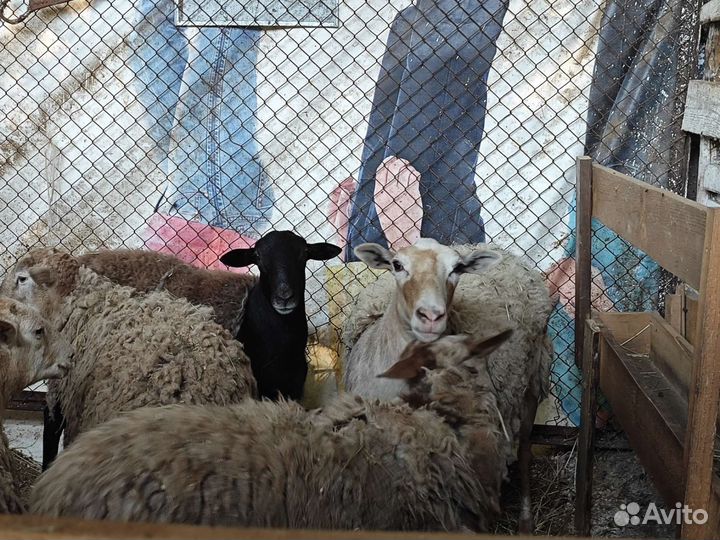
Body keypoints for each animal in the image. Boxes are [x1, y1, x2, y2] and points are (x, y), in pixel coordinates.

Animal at [342, 238, 553, 533]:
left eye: (457, 269)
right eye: (397, 265)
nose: (431, 316)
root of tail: (511, 256)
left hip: (533, 379)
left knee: (524, 450)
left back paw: (525, 520)